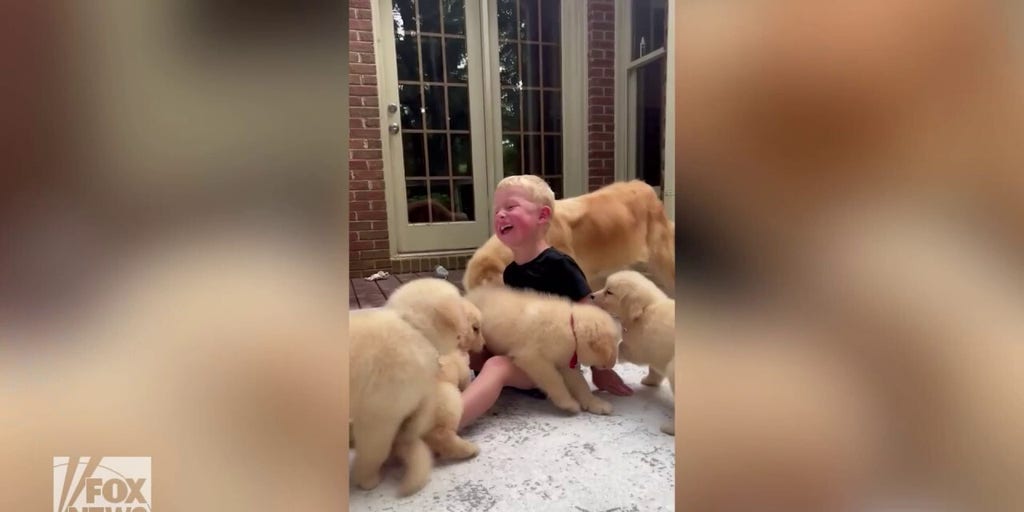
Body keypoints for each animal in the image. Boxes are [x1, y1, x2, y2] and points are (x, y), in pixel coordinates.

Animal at [462, 284, 614, 415]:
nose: (612, 364)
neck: (571, 329)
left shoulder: (565, 362)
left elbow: (581, 384)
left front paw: (595, 404)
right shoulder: (533, 359)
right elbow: (555, 379)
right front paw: (568, 403)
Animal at [589, 270, 675, 434]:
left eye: (609, 292)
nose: (591, 295)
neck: (645, 310)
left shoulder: (639, 347)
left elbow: (623, 346)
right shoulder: (655, 351)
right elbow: (654, 368)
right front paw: (650, 381)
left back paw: (669, 428)